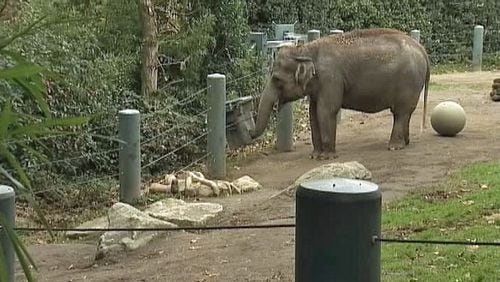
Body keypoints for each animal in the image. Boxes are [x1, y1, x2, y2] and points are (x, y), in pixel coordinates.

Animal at [250, 28, 430, 160]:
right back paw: (405, 143)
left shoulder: (330, 78)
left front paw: (327, 157)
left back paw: (394, 147)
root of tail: (422, 49)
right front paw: (315, 156)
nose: (251, 133)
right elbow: (313, 113)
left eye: (276, 79)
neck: (305, 49)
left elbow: (325, 111)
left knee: (401, 112)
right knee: (403, 114)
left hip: (408, 82)